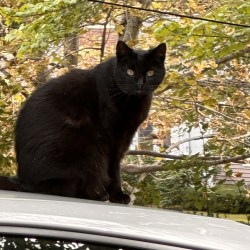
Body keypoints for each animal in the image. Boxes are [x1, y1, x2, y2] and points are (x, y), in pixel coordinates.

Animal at [6, 40, 166, 203]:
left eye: (150, 73)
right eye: (130, 72)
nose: (140, 84)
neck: (134, 101)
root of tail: (23, 181)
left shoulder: (127, 133)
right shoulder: (113, 137)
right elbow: (114, 168)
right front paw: (117, 195)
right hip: (85, 148)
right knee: (64, 187)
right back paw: (97, 195)